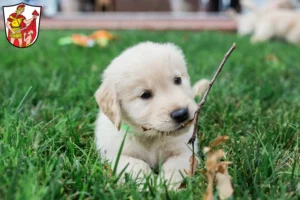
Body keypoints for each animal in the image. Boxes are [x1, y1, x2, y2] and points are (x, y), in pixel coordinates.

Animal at [94, 41, 209, 189]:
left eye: (177, 80)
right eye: (145, 95)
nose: (181, 113)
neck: (151, 137)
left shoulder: (186, 152)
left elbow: (173, 167)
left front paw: (165, 186)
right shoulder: (115, 156)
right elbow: (137, 165)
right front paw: (147, 185)